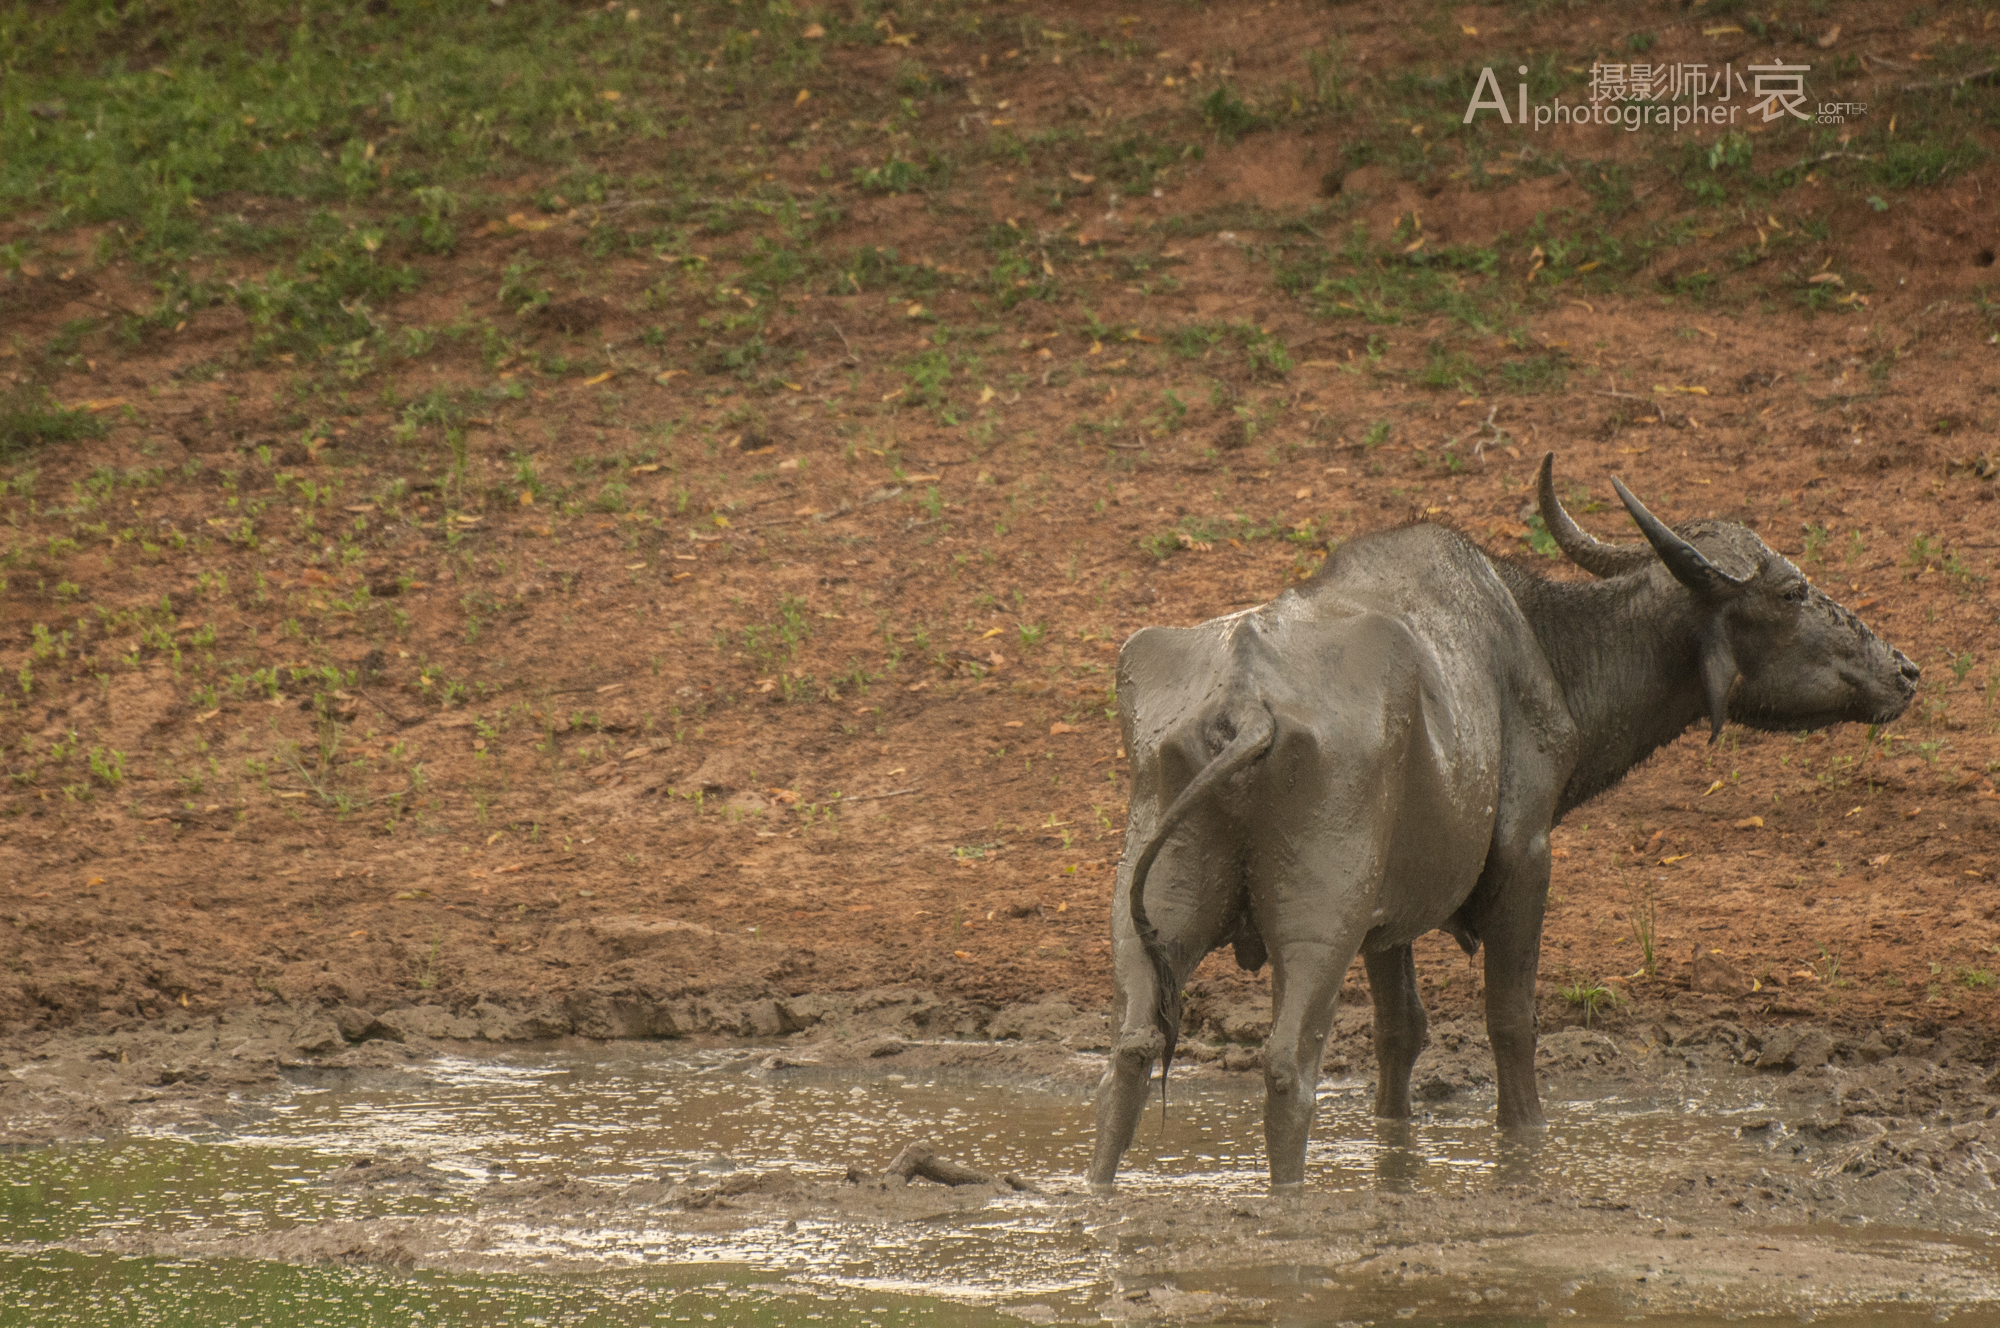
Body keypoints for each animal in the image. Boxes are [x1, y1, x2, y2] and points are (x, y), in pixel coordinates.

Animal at [1096, 454, 1920, 1192]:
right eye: (1792, 590)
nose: (1905, 671)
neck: (1541, 648)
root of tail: (1243, 706)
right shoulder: (1526, 857)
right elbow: (1512, 1021)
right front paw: (1526, 1138)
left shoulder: (1389, 916)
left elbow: (1401, 1033)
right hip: (1318, 920)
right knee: (1287, 1066)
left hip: (1157, 912)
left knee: (1130, 1053)